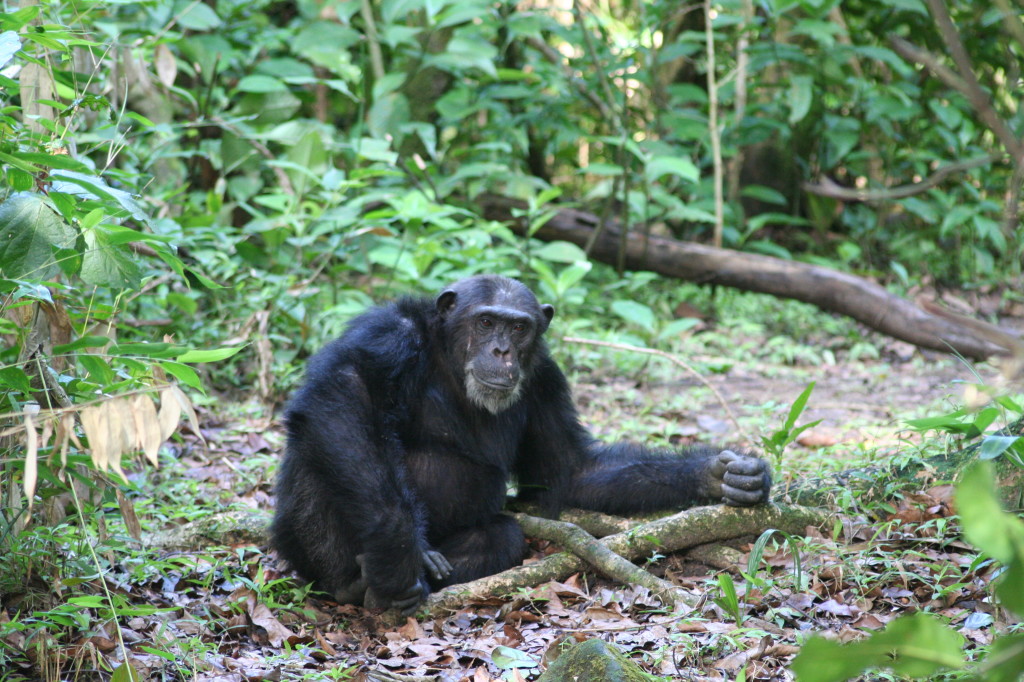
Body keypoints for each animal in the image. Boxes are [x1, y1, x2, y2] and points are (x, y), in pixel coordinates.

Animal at [272, 274, 770, 610]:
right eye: (486, 321)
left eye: (518, 328)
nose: (502, 351)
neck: (447, 355)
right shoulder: (388, 333)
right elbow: (345, 392)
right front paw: (399, 556)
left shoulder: (546, 378)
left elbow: (570, 469)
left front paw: (723, 474)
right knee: (329, 446)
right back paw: (357, 582)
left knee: (503, 535)